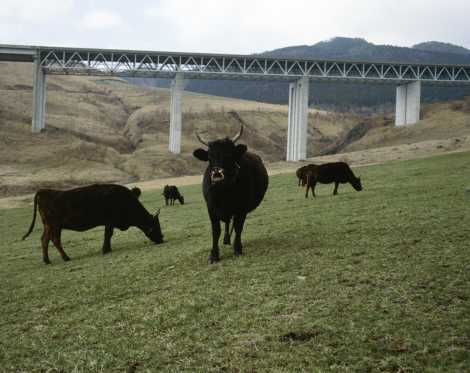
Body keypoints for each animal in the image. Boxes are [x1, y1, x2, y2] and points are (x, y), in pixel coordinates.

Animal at [23, 185, 164, 264]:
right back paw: (66, 258)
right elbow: (108, 234)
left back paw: (47, 260)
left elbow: (108, 235)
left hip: (48, 226)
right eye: (156, 226)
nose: (161, 239)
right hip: (55, 226)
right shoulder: (110, 222)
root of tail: (44, 191)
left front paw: (108, 248)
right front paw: (105, 249)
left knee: (44, 240)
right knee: (55, 240)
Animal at [193, 126, 268, 264]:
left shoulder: (242, 209)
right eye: (209, 157)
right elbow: (216, 231)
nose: (217, 174)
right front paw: (214, 255)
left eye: (228, 155)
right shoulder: (211, 209)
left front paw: (237, 248)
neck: (224, 192)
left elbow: (238, 227)